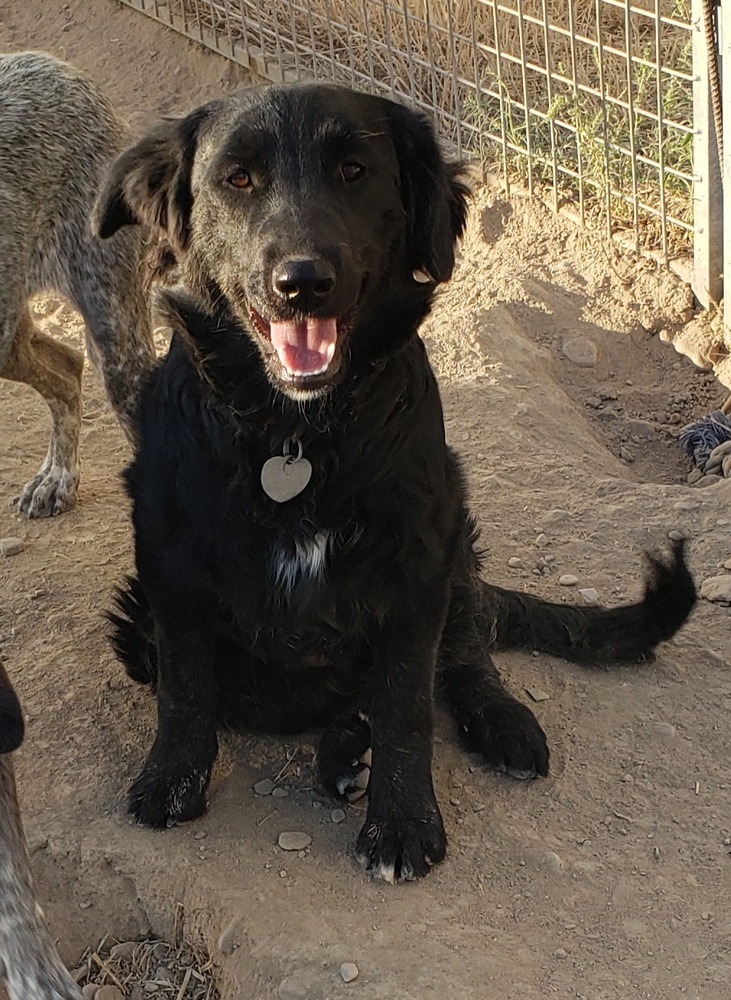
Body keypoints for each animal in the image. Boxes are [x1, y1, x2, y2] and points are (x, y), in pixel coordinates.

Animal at [96, 86, 696, 884]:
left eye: (354, 170)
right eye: (238, 179)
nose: (302, 282)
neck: (296, 437)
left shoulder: (418, 568)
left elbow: (409, 703)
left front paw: (405, 822)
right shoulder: (171, 569)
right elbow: (186, 690)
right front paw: (172, 780)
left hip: (458, 537)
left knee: (466, 649)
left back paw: (492, 723)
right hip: (136, 623)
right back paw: (344, 751)